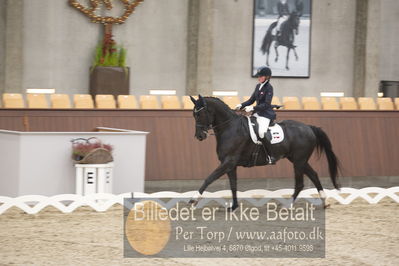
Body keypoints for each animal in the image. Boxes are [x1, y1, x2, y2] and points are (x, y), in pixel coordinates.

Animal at [189, 95, 340, 210]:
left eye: (200, 114)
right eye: (194, 114)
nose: (199, 136)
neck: (230, 128)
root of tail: (309, 127)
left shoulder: (228, 162)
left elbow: (209, 178)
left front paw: (194, 199)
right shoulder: (230, 165)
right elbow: (233, 185)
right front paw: (234, 207)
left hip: (299, 160)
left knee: (300, 183)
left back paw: (288, 206)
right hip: (299, 160)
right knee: (314, 175)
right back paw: (324, 202)